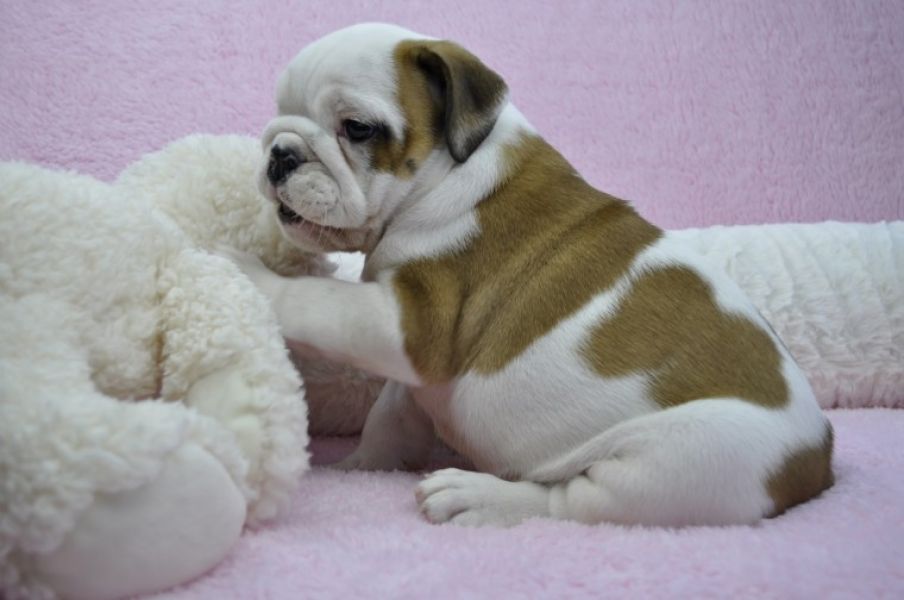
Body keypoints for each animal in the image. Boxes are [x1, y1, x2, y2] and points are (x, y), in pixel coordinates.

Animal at [226, 22, 834, 527]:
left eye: (356, 128)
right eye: (280, 111)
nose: (280, 153)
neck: (448, 171)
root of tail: (820, 458)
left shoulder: (411, 322)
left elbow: (316, 301)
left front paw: (243, 269)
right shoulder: (409, 373)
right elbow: (389, 417)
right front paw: (360, 466)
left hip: (686, 458)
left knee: (573, 502)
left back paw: (475, 496)